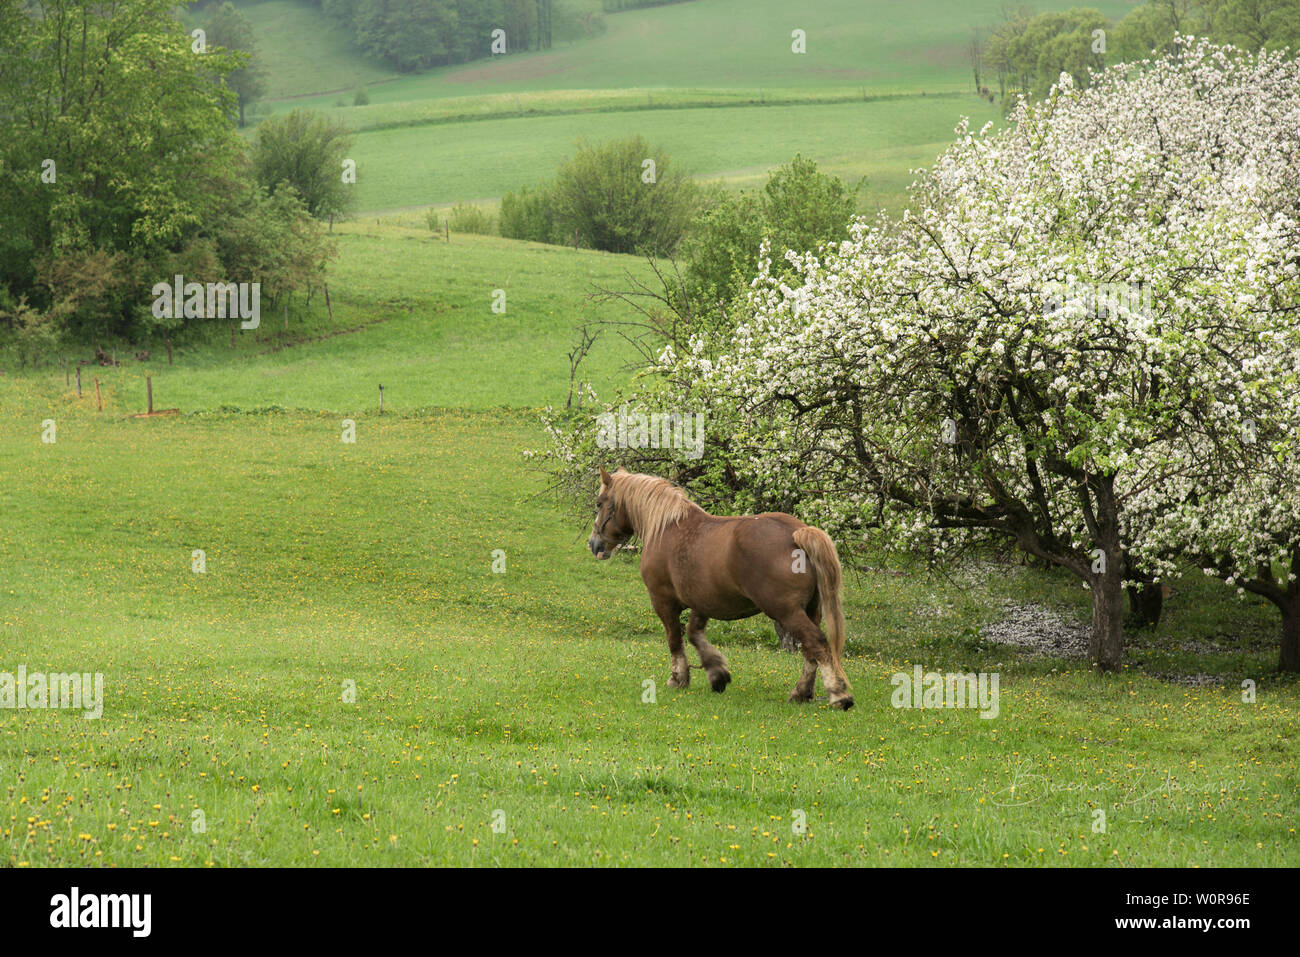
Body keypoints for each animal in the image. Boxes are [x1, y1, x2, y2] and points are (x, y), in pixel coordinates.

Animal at [587, 468, 852, 707]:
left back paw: (838, 695)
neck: (665, 527)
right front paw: (717, 674)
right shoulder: (701, 601)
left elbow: (675, 639)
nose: (594, 543)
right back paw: (802, 692)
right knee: (810, 650)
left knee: (816, 642)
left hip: (787, 612)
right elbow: (694, 634)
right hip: (811, 609)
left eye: (599, 504)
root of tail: (796, 532)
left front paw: (678, 678)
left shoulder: (663, 601)